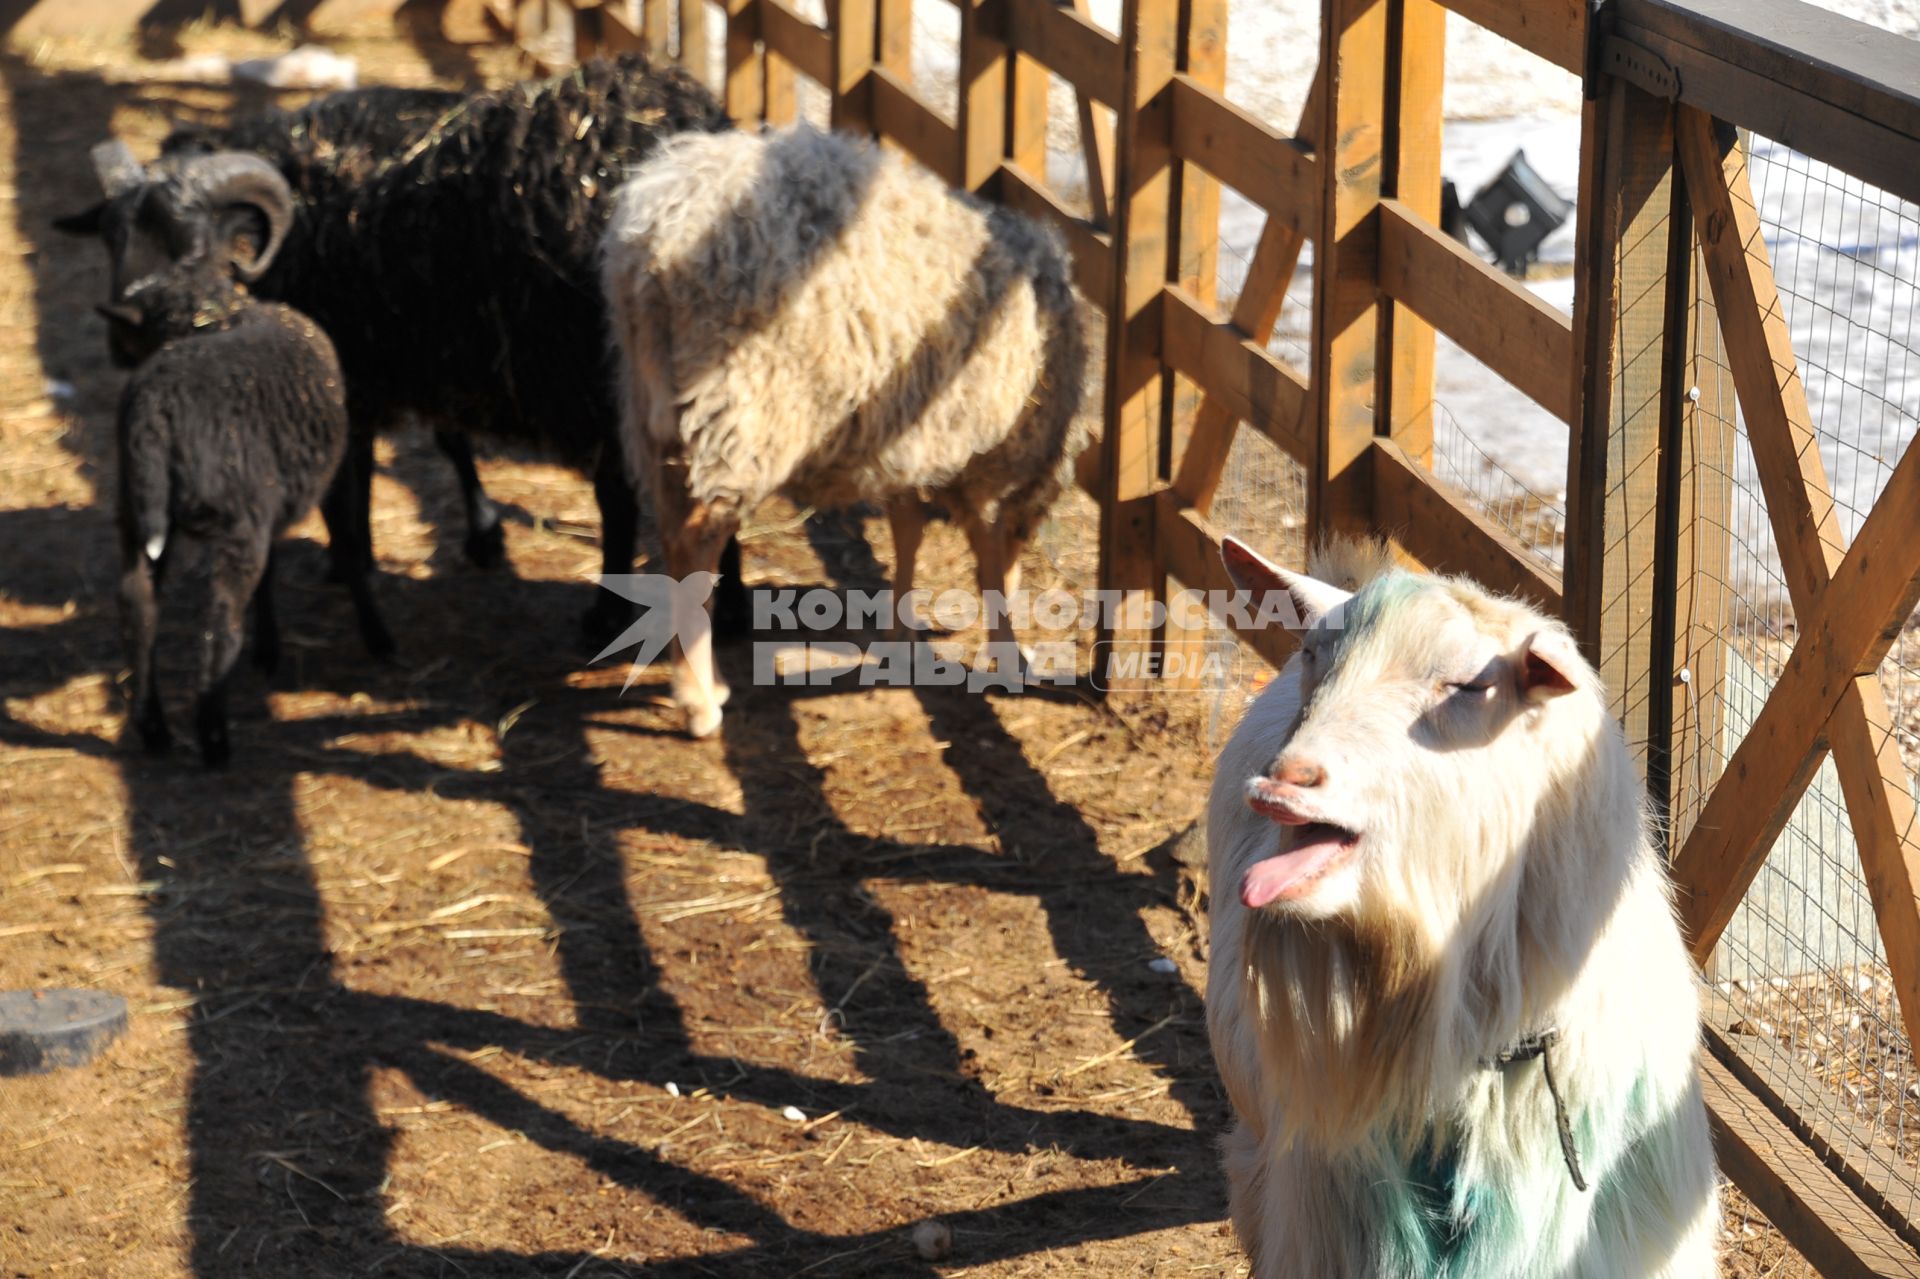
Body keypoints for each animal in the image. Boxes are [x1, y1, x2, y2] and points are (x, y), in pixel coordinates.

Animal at [602, 125, 1082, 737]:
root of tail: (655, 240)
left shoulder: (909, 439)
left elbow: (907, 532)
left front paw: (900, 637)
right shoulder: (985, 459)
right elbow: (985, 558)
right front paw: (1009, 654)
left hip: (657, 412)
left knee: (668, 529)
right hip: (743, 413)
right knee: (695, 543)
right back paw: (698, 701)